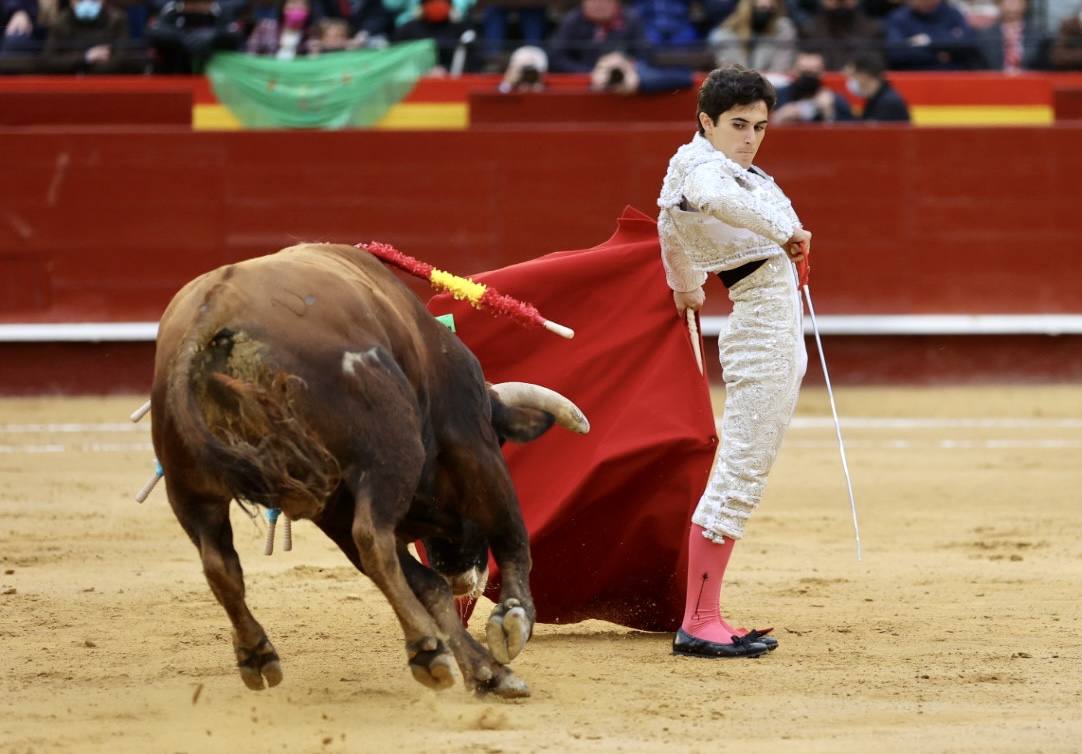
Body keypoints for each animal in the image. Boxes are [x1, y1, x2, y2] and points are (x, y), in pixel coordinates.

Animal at [148, 244, 588, 696]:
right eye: (500, 440)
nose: (461, 573)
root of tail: (209, 317)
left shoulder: (338, 506)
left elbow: (428, 586)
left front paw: (487, 670)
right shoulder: (472, 443)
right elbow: (511, 533)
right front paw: (511, 624)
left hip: (193, 489)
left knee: (220, 563)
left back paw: (258, 655)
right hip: (390, 452)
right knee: (372, 539)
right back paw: (426, 650)